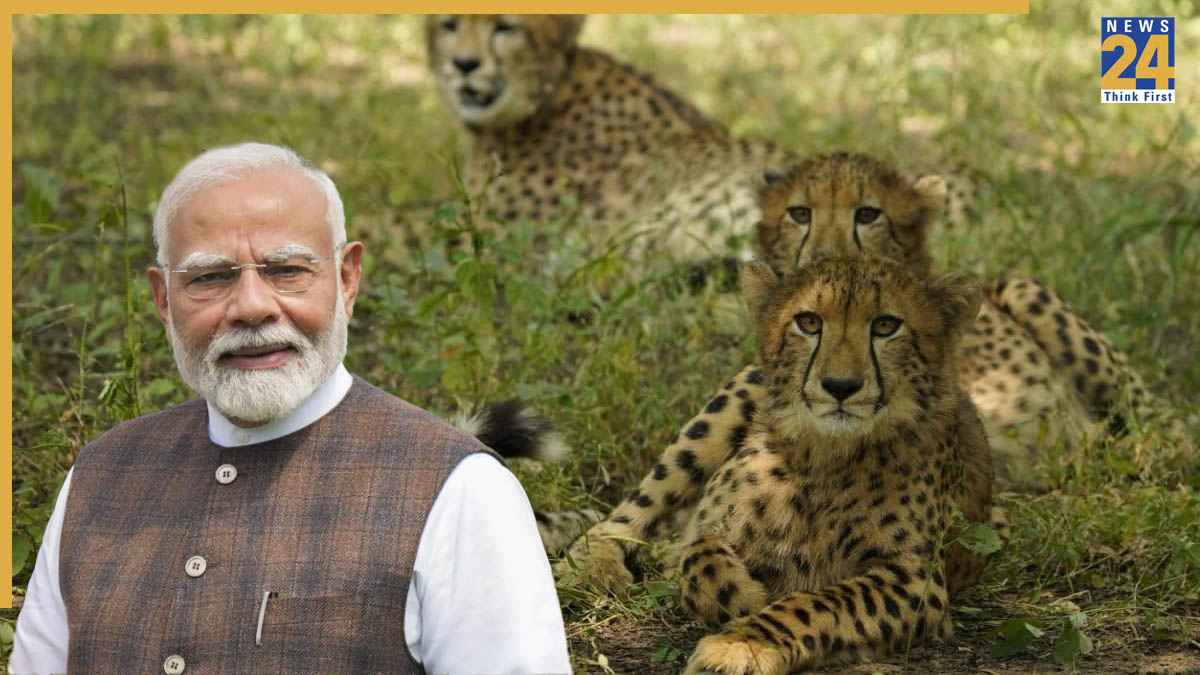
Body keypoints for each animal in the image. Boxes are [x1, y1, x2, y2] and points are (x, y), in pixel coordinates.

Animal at [678, 256, 993, 673]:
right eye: (809, 322)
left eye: (886, 325)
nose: (840, 386)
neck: (821, 457)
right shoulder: (708, 529)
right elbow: (697, 553)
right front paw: (743, 597)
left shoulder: (914, 579)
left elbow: (817, 603)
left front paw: (742, 644)